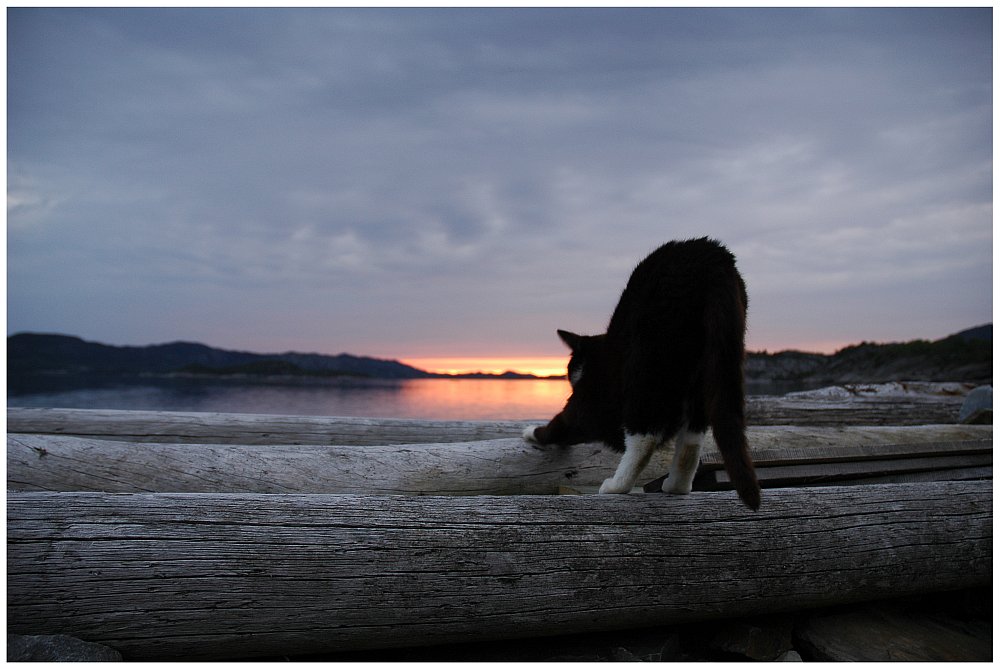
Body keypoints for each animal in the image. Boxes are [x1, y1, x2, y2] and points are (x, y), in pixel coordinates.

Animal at [520, 237, 760, 508]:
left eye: (570, 370)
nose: (570, 378)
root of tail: (714, 260)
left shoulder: (587, 402)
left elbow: (562, 423)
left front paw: (531, 432)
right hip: (709, 368)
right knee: (692, 440)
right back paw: (676, 487)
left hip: (648, 361)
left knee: (644, 437)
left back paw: (617, 486)